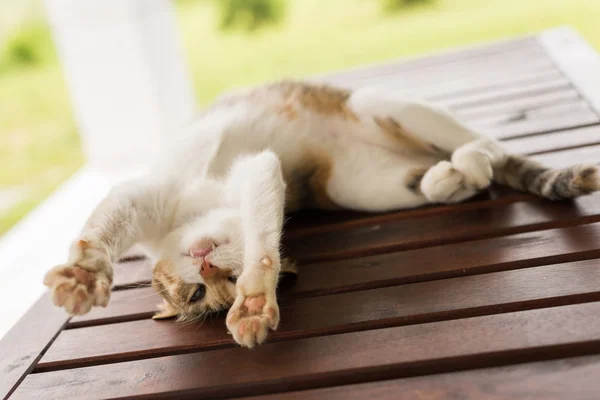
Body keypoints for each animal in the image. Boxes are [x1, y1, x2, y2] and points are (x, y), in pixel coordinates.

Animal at [43, 80, 600, 346]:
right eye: (199, 293)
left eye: (223, 279)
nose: (204, 262)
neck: (192, 216)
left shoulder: (229, 178)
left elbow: (108, 222)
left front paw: (84, 272)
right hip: (363, 187)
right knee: (450, 178)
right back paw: (452, 175)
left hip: (378, 104)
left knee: (491, 145)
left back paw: (474, 154)